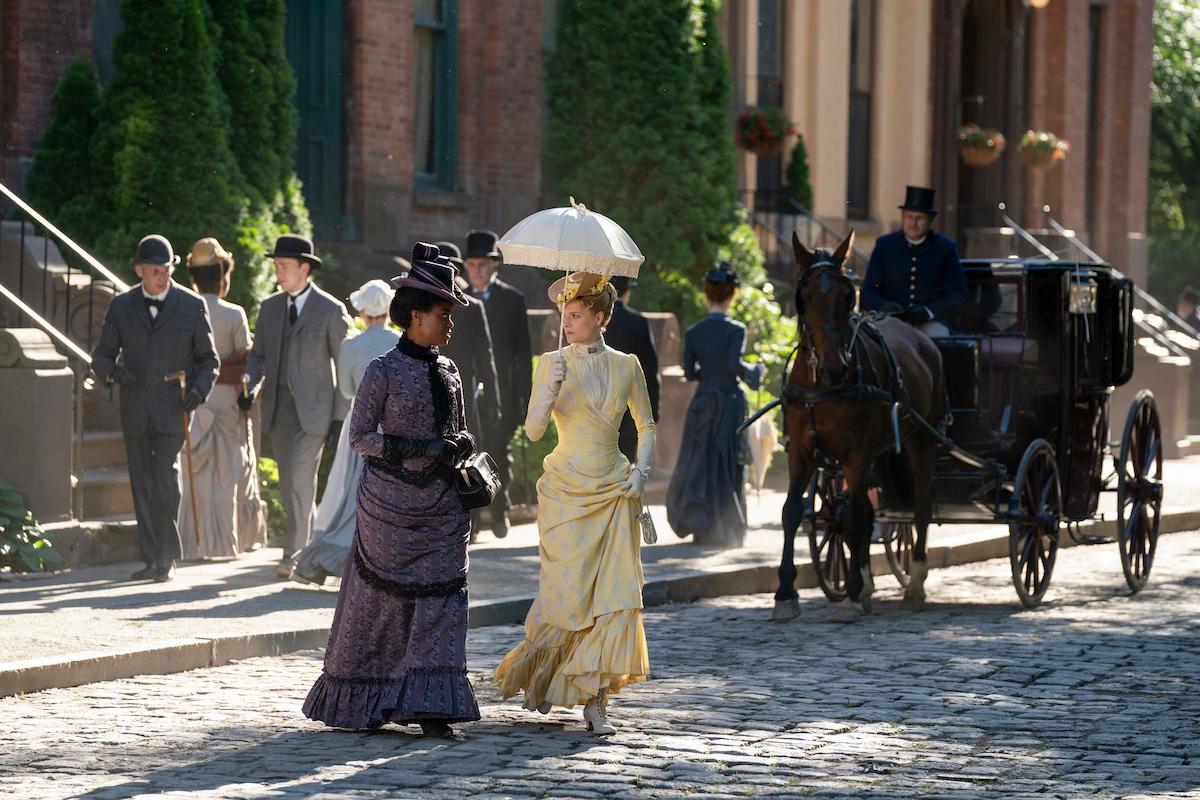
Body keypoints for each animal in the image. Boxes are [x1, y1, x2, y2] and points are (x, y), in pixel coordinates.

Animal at [777, 227, 945, 623]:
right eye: (805, 296)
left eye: (845, 295)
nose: (834, 366)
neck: (822, 385)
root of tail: (921, 339)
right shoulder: (801, 451)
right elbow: (792, 512)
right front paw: (786, 593)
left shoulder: (856, 452)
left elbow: (853, 518)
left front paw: (851, 594)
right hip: (878, 454)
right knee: (871, 513)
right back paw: (868, 584)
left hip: (921, 442)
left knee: (920, 506)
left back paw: (914, 584)